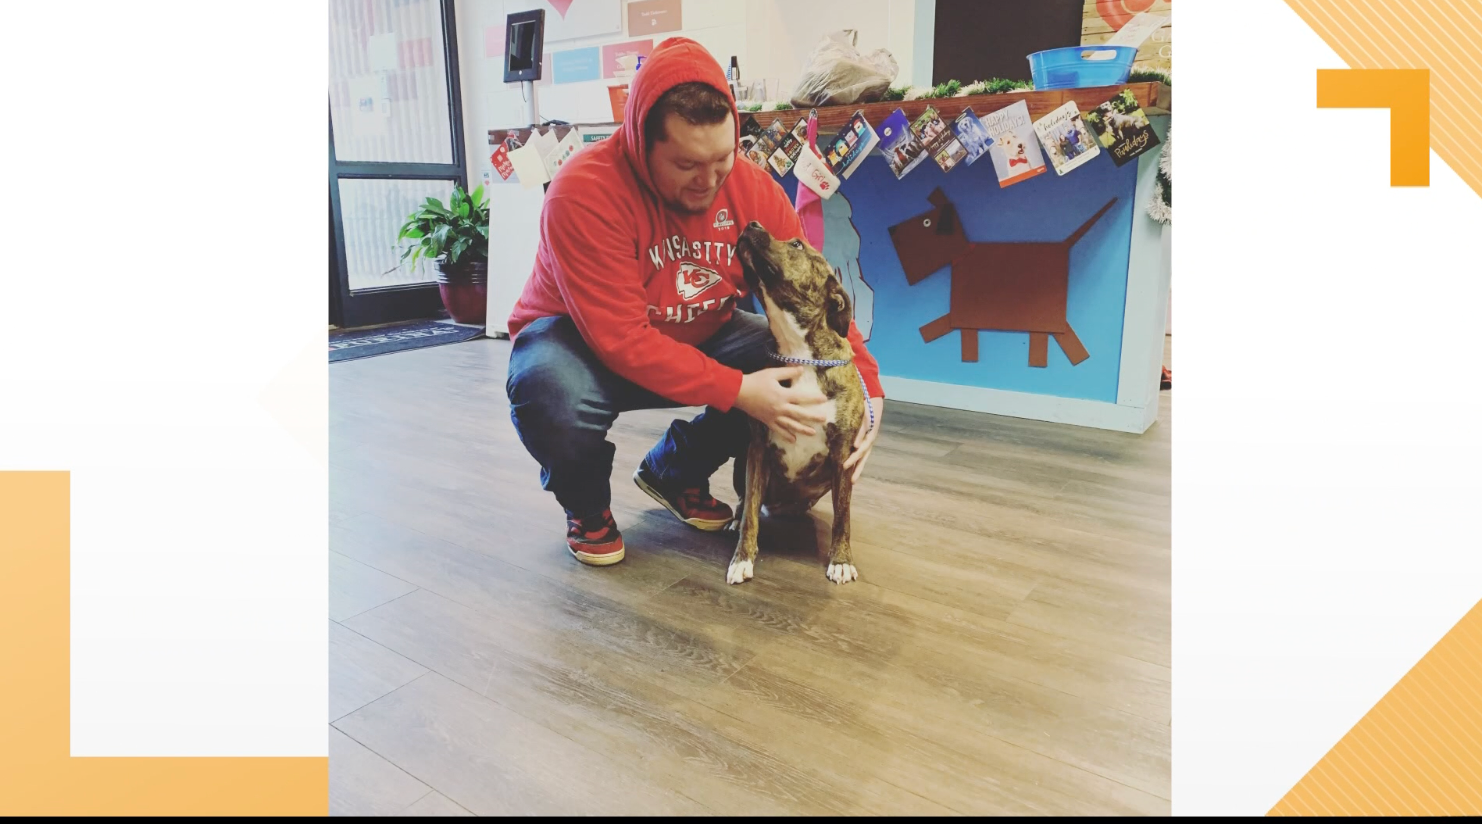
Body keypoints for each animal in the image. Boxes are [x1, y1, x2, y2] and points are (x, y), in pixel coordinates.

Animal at [730, 221, 867, 586]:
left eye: (797, 245)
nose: (752, 224)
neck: (799, 352)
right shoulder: (757, 449)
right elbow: (750, 513)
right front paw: (742, 558)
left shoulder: (843, 455)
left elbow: (844, 516)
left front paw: (841, 560)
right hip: (741, 463)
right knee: (745, 501)